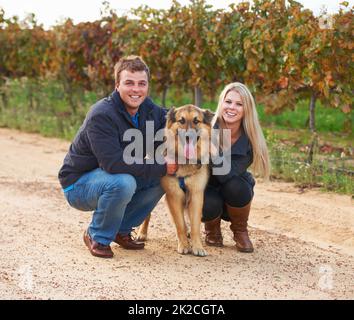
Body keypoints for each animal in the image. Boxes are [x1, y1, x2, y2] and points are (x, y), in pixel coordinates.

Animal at [137, 105, 214, 258]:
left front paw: (197, 246)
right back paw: (142, 233)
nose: (189, 136)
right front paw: (184, 245)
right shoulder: (174, 195)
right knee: (147, 215)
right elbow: (179, 224)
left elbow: (195, 224)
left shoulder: (196, 195)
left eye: (196, 121)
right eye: (181, 120)